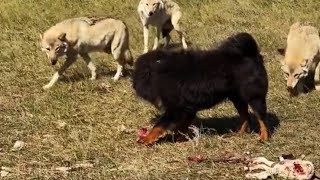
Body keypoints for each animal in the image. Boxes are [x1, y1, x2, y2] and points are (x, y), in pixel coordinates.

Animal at [134, 32, 268, 145]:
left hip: (254, 97)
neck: (159, 69)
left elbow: (159, 125)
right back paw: (239, 134)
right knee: (245, 116)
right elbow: (181, 126)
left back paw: (264, 138)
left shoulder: (175, 109)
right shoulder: (187, 108)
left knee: (261, 118)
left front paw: (146, 138)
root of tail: (252, 54)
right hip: (237, 98)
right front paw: (179, 137)